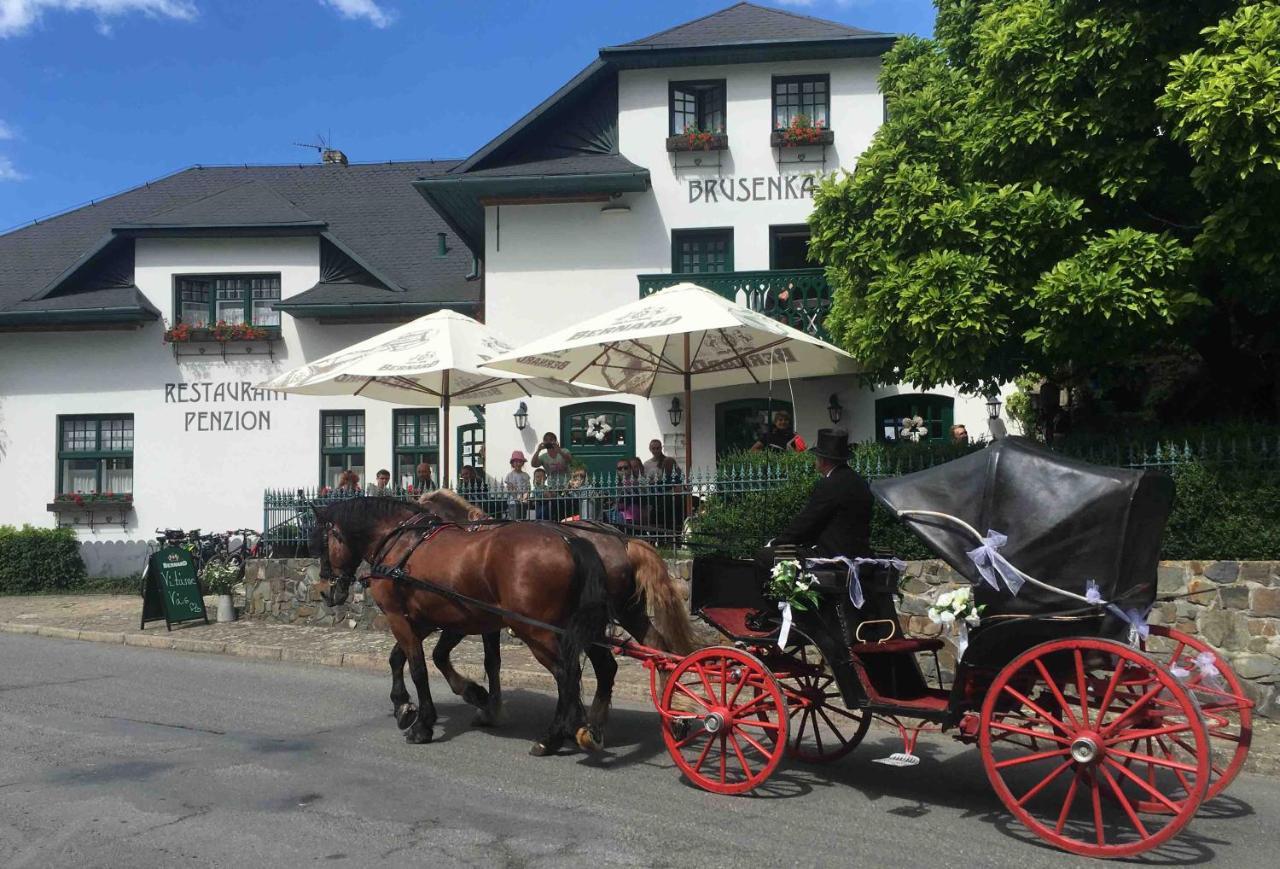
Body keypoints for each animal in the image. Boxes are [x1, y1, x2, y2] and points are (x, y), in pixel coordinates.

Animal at [309, 499, 609, 757]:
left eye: (322, 544)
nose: (324, 592)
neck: (399, 543)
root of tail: (569, 540)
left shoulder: (399, 617)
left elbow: (418, 668)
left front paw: (422, 725)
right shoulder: (427, 619)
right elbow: (403, 658)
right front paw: (407, 705)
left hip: (535, 631)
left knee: (565, 674)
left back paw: (551, 738)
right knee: (582, 670)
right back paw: (577, 726)